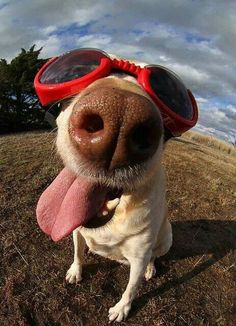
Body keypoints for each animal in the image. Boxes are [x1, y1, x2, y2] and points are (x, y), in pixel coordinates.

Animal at [37, 55, 173, 320]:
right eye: (77, 70)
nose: (121, 115)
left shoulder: (139, 256)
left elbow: (131, 288)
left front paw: (121, 309)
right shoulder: (76, 231)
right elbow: (77, 253)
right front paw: (75, 271)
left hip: (166, 237)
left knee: (154, 255)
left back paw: (151, 269)